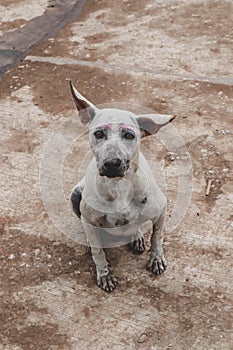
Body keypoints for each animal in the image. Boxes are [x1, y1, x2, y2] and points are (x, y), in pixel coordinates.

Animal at [69, 82, 175, 292]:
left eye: (128, 135)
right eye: (99, 134)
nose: (112, 163)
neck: (119, 186)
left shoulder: (161, 208)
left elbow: (157, 236)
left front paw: (156, 258)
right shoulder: (89, 219)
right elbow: (98, 252)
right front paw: (104, 274)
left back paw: (137, 236)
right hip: (75, 195)